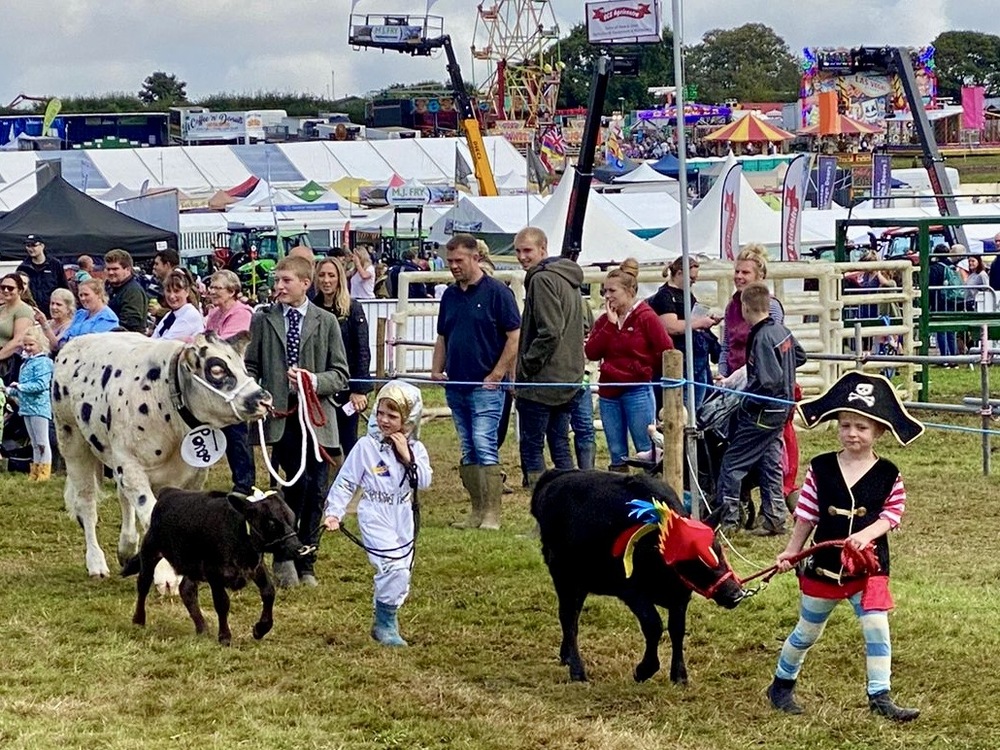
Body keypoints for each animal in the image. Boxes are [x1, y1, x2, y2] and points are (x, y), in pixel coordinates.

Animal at [53, 331, 271, 579]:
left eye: (242, 366)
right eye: (216, 370)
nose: (264, 399)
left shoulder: (193, 474)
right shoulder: (131, 467)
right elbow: (150, 514)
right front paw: (166, 577)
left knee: (121, 497)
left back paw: (126, 548)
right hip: (73, 443)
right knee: (87, 502)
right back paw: (96, 563)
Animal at [122, 487, 309, 644]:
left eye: (293, 517)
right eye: (271, 522)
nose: (298, 548)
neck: (239, 535)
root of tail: (168, 492)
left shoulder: (256, 567)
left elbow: (269, 592)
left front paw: (260, 629)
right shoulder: (215, 574)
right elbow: (222, 603)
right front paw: (225, 637)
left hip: (191, 567)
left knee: (186, 590)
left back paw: (202, 627)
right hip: (150, 551)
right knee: (143, 585)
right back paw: (138, 620)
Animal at [531, 469, 746, 683]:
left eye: (718, 549)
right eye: (693, 560)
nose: (735, 593)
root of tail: (554, 476)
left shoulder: (680, 597)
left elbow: (677, 630)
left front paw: (679, 675)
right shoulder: (631, 591)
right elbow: (654, 626)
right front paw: (645, 669)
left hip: (581, 580)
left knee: (574, 615)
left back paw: (566, 656)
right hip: (562, 575)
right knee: (567, 617)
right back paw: (577, 670)